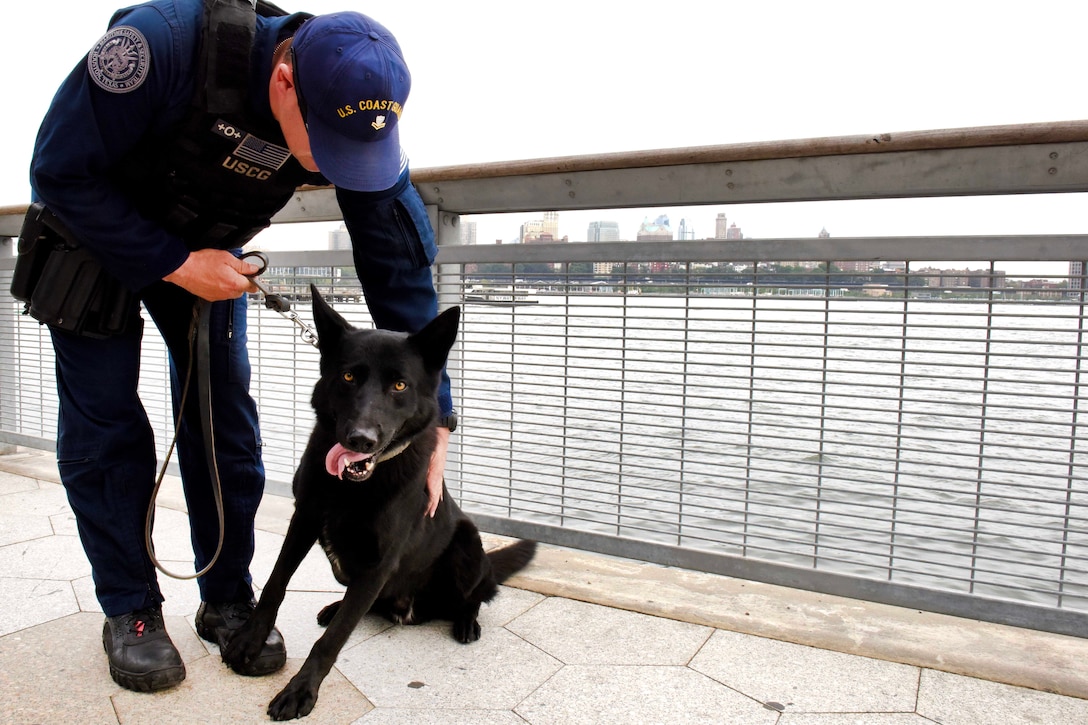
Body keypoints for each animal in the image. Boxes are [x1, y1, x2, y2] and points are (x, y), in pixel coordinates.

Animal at [224, 287, 535, 718]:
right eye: (348, 376)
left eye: (400, 386)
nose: (360, 439)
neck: (352, 487)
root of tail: (410, 610)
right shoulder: (304, 520)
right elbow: (275, 583)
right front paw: (251, 640)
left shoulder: (378, 563)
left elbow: (333, 640)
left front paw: (301, 690)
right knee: (362, 604)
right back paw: (336, 606)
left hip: (468, 544)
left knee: (474, 595)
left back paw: (466, 621)